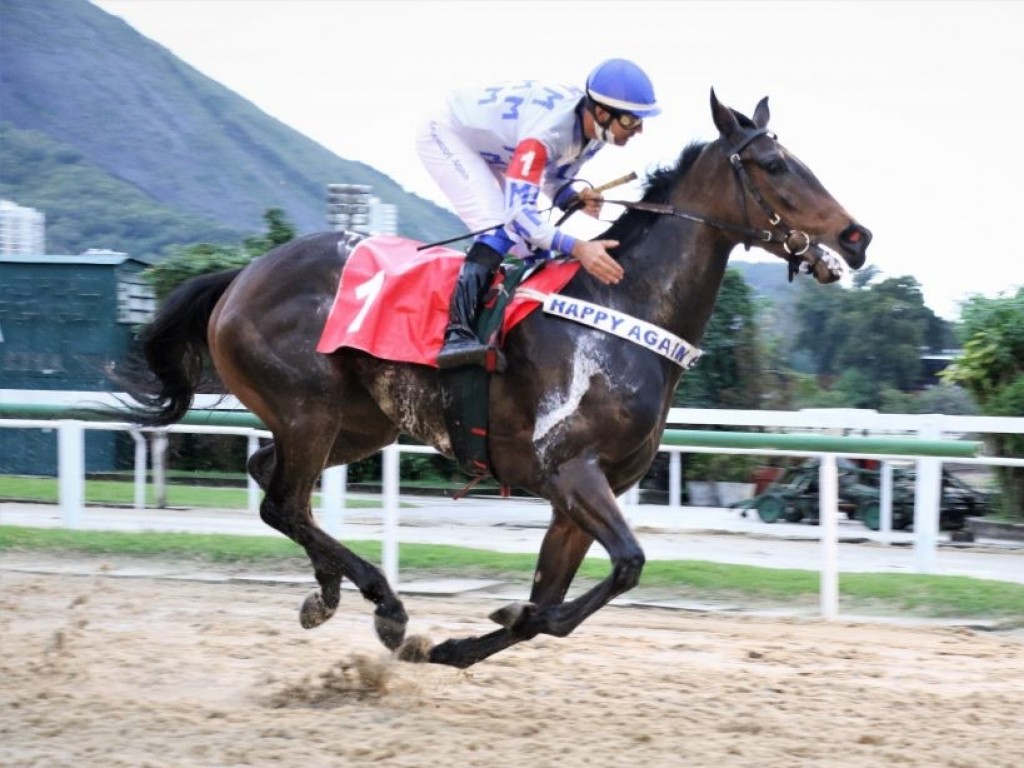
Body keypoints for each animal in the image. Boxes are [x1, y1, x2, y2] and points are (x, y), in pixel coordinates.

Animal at [119, 88, 872, 667]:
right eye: (774, 164)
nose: (858, 236)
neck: (623, 306)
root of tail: (240, 277)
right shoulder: (570, 468)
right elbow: (620, 568)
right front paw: (479, 621)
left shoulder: (579, 495)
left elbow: (555, 601)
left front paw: (457, 645)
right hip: (310, 410)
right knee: (283, 503)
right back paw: (383, 602)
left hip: (359, 424)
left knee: (274, 483)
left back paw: (329, 592)